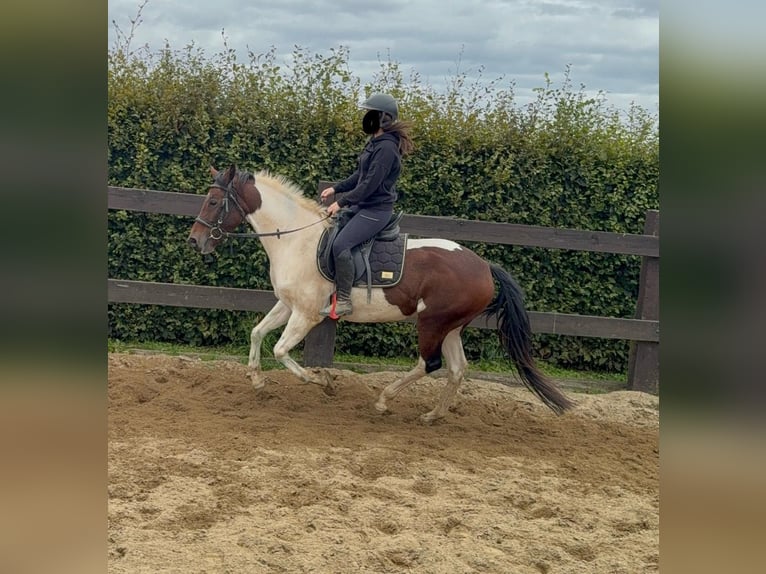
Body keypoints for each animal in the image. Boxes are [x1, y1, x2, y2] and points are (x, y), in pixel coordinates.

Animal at [187, 165, 574, 422]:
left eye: (213, 201)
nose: (195, 241)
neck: (296, 240)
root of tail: (484, 266)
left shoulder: (307, 314)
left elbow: (281, 351)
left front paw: (322, 380)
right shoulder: (287, 305)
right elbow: (257, 333)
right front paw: (256, 380)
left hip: (432, 323)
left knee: (428, 364)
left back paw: (385, 401)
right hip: (451, 327)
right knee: (457, 369)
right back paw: (433, 415)